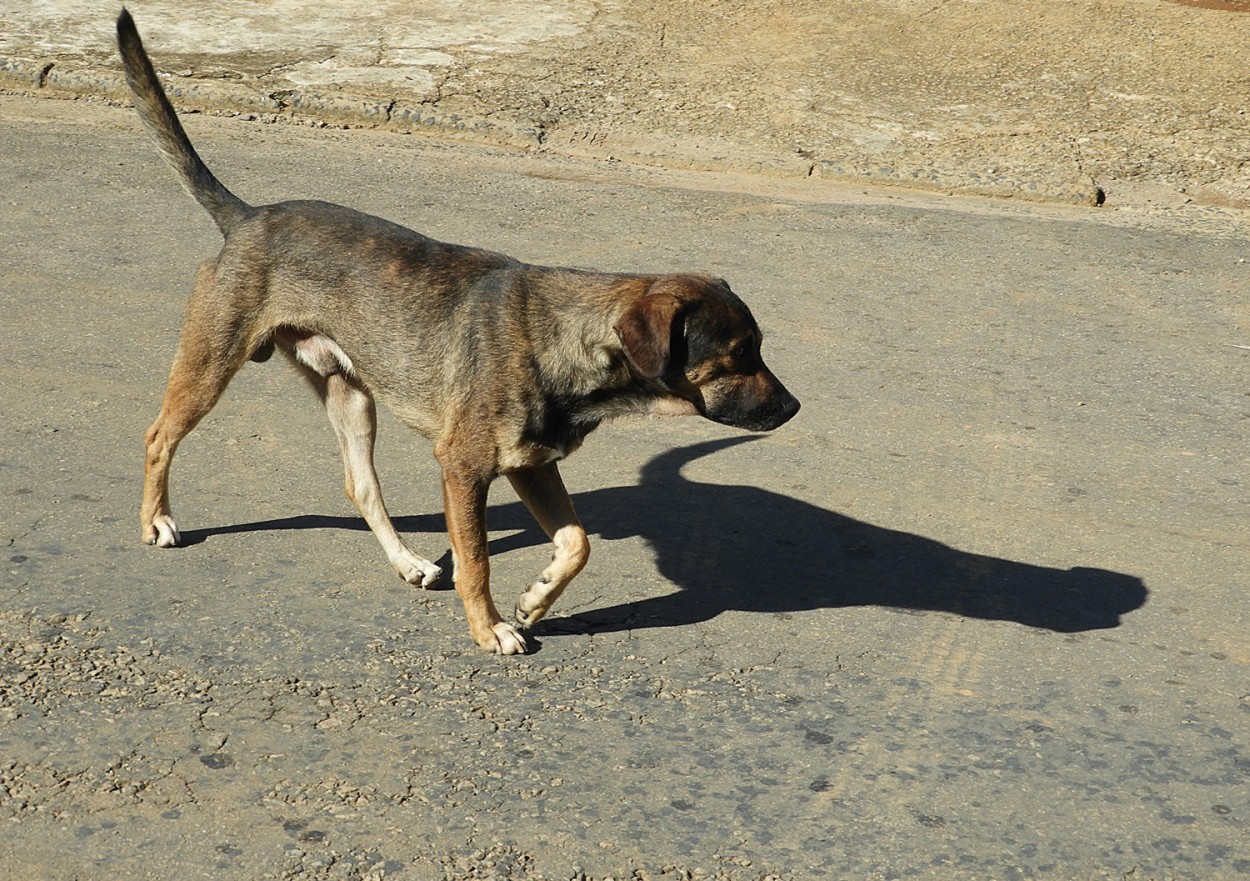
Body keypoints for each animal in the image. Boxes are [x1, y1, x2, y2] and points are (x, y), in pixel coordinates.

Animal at [117, 6, 800, 654]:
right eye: (740, 355)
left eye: (756, 349)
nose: (795, 408)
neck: (564, 337)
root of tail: (248, 217)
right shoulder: (464, 468)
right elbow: (477, 561)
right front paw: (489, 628)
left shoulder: (531, 465)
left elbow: (578, 542)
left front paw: (536, 599)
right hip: (212, 361)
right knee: (159, 436)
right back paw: (156, 522)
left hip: (351, 396)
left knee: (362, 487)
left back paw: (408, 562)